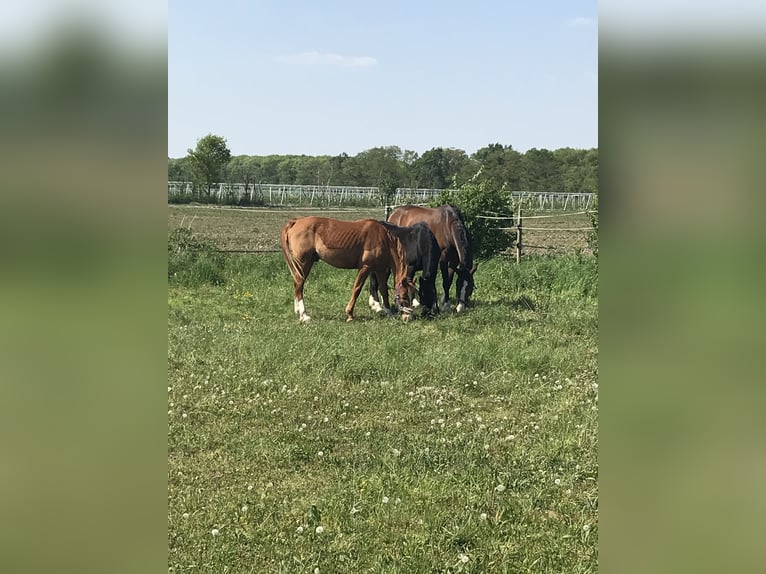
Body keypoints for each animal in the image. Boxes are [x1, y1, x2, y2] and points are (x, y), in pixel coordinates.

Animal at [280, 217, 416, 324]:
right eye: (404, 296)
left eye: (413, 295)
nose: (408, 317)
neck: (383, 239)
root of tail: (296, 221)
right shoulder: (365, 268)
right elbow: (357, 289)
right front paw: (350, 314)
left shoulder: (380, 269)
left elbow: (383, 290)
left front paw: (388, 312)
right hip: (304, 263)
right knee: (299, 285)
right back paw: (304, 315)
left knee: (297, 285)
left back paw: (298, 312)